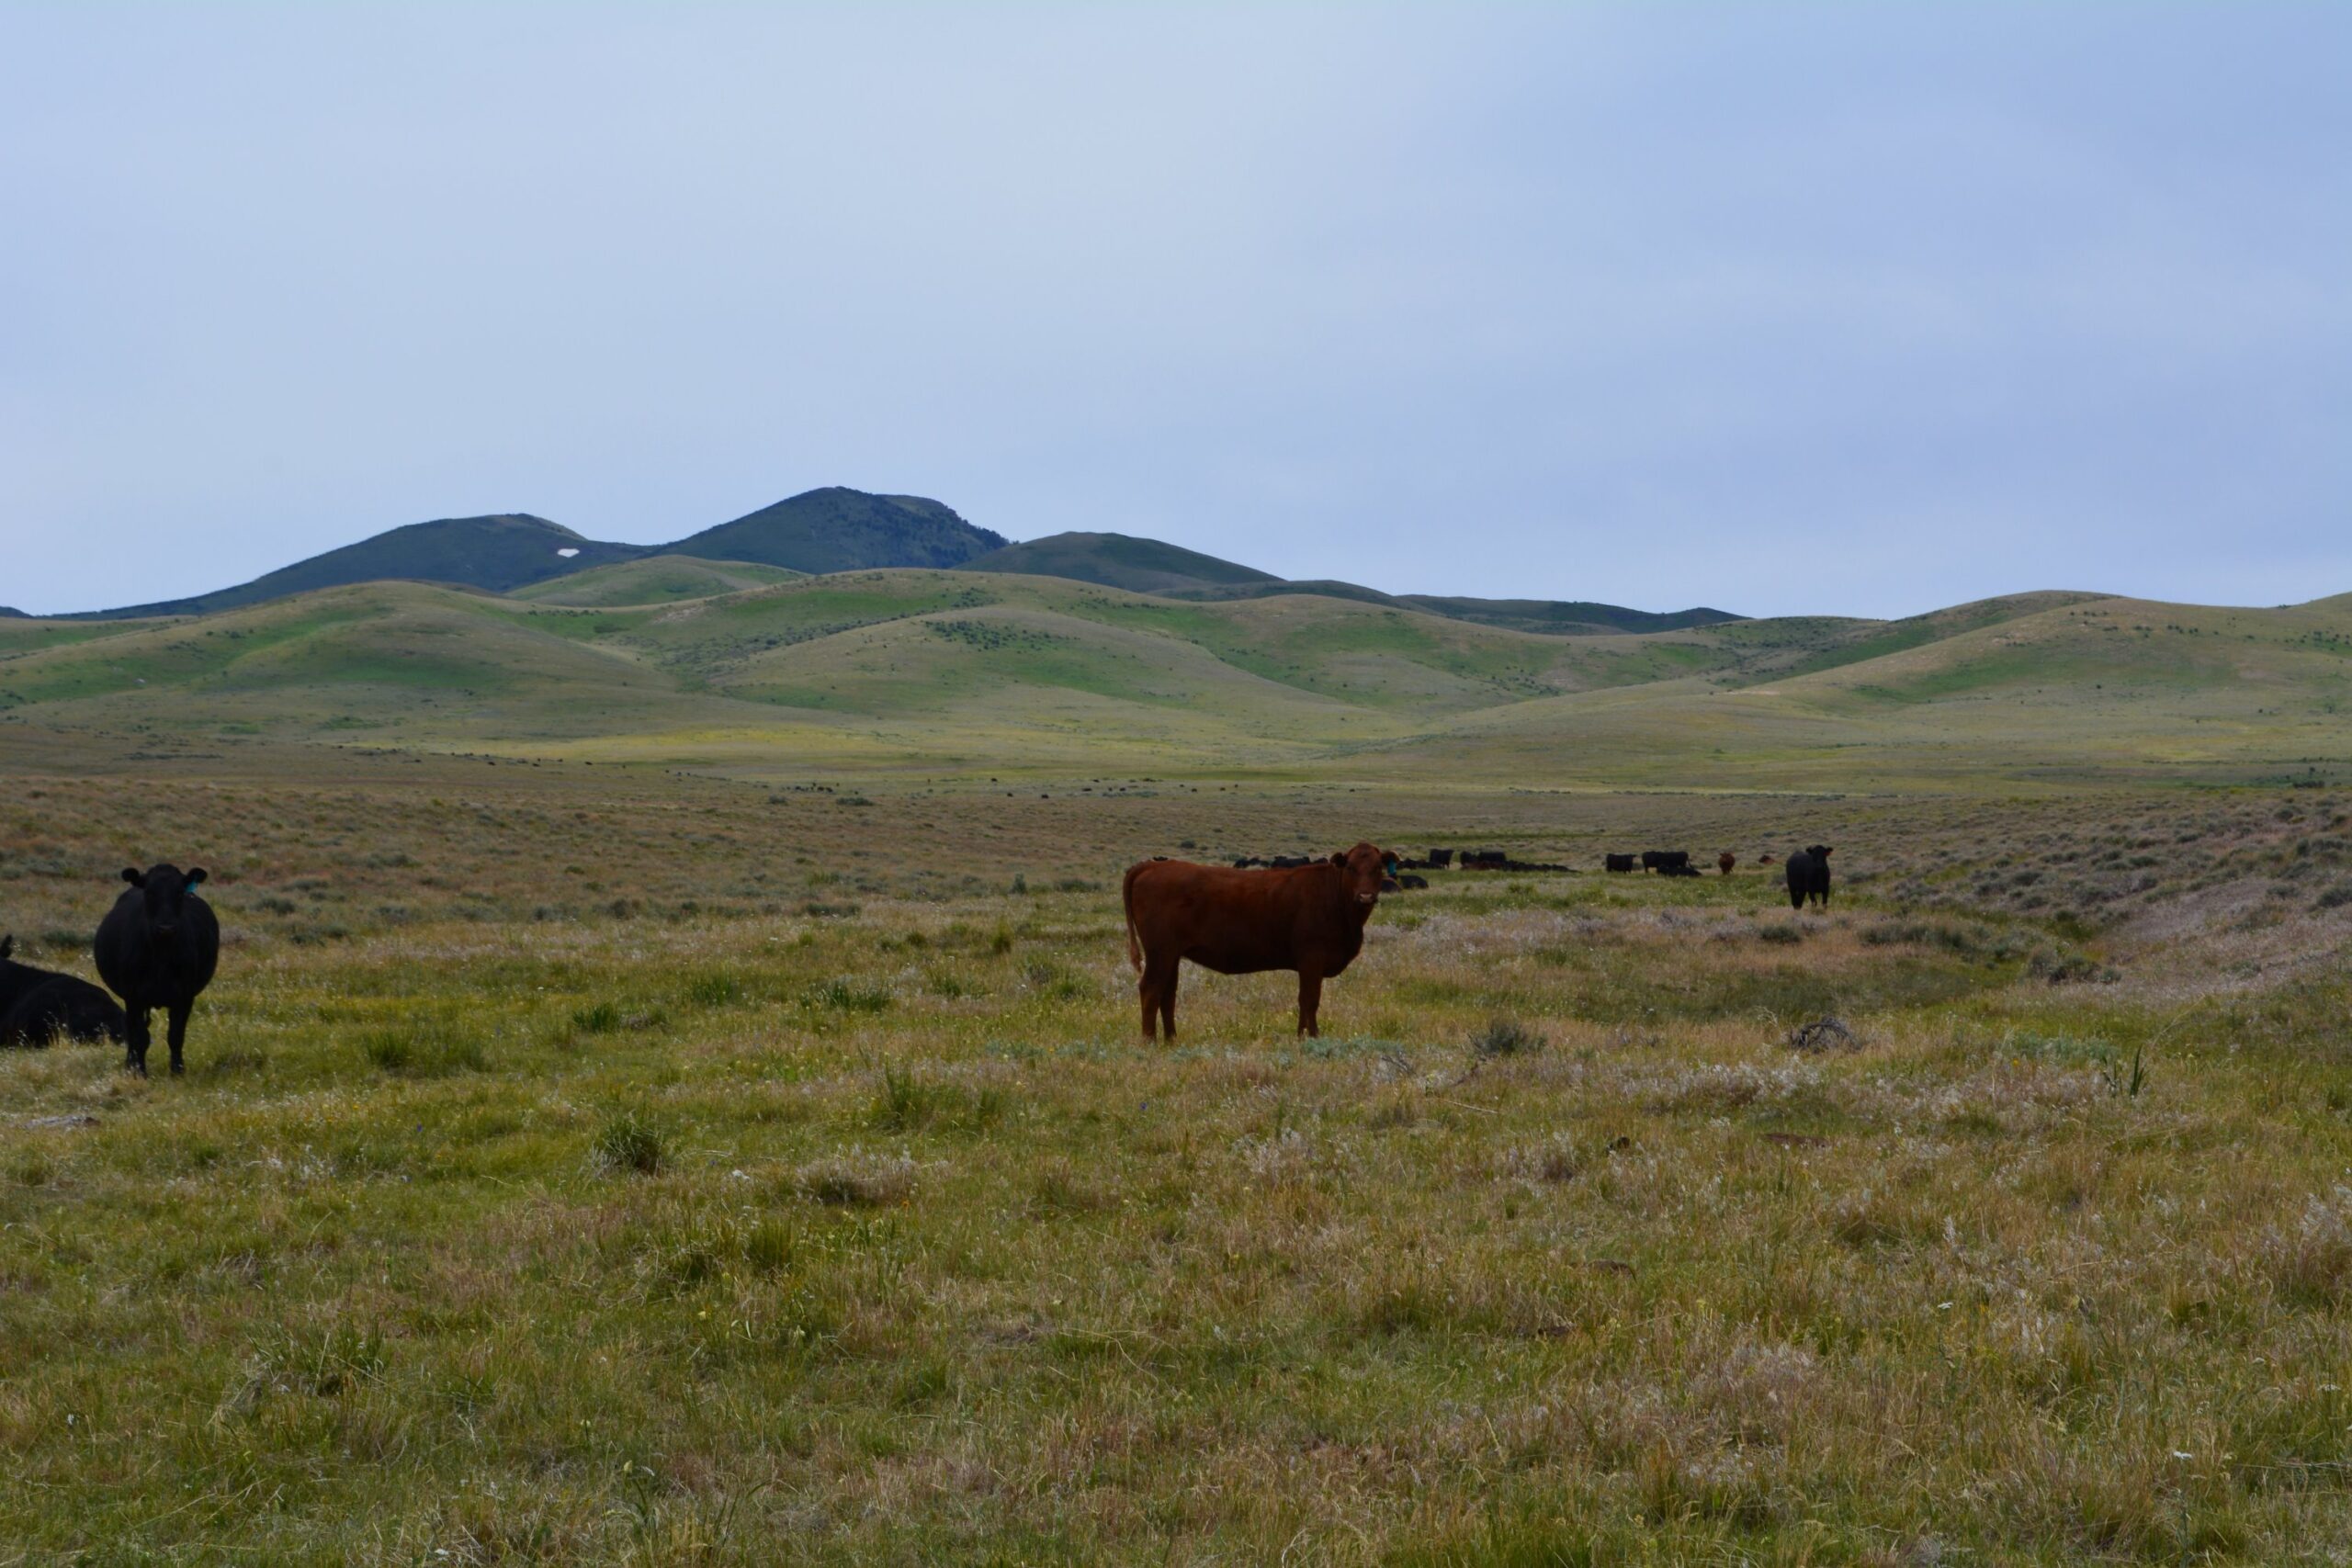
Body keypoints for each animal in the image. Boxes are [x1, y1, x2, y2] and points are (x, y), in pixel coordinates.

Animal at [93, 863, 220, 1076]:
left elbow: (176, 1035)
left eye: (180, 893)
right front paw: (140, 1072)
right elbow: (140, 1037)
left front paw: (178, 1071)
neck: (161, 956)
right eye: (150, 892)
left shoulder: (185, 996)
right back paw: (130, 1064)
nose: (166, 928)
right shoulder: (133, 995)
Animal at [1123, 842, 1390, 1041]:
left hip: (1171, 955)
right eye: (1351, 867)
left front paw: (1301, 1035)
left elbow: (1304, 1000)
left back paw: (1171, 1039)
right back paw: (1149, 1040)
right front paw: (1312, 1037)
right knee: (1151, 989)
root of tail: (1151, 866)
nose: (1365, 896)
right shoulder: (1312, 959)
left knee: (1168, 994)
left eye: (1378, 867)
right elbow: (1310, 1000)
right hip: (1160, 953)